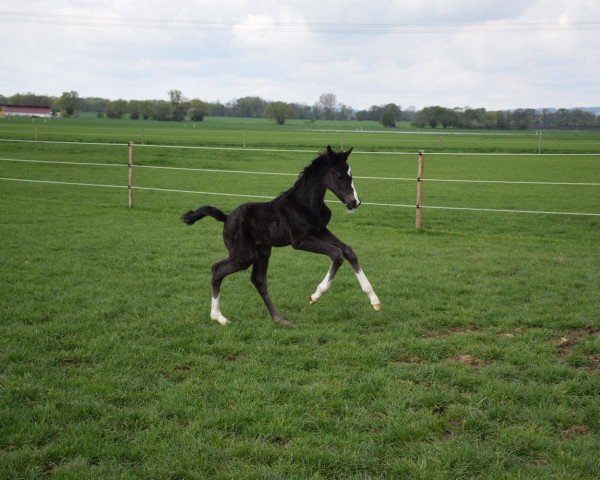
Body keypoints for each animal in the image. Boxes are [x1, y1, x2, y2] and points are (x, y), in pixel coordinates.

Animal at [183, 145, 380, 326]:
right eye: (339, 175)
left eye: (351, 175)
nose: (354, 202)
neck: (305, 203)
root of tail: (226, 217)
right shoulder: (300, 240)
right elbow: (336, 254)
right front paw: (315, 296)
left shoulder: (320, 231)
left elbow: (348, 251)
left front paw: (374, 300)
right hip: (244, 255)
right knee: (217, 269)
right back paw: (219, 317)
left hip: (262, 251)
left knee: (258, 280)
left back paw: (279, 319)